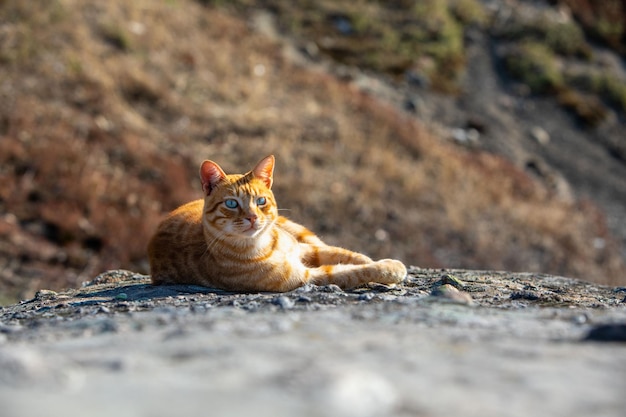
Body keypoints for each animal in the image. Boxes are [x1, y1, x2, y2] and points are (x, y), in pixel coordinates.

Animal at [149, 154, 408, 290]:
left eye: (261, 200)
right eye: (231, 203)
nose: (253, 217)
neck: (266, 245)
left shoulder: (304, 248)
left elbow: (342, 253)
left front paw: (371, 259)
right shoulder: (307, 276)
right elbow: (353, 272)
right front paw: (390, 268)